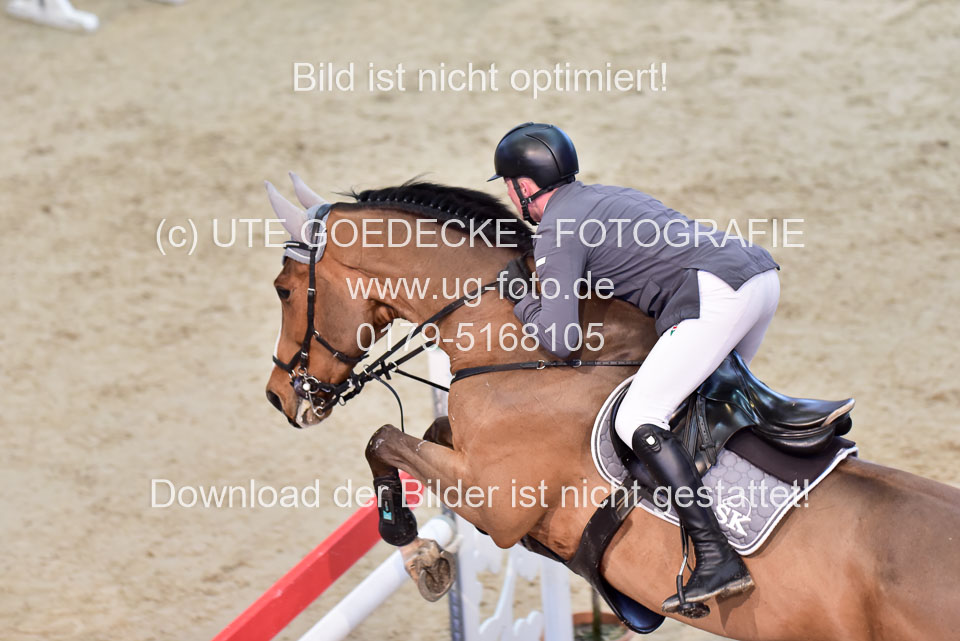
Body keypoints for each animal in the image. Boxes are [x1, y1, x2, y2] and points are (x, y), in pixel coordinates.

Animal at [263, 174, 960, 641]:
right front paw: (428, 555)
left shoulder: (498, 499)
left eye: (284, 290)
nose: (279, 396)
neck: (518, 347)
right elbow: (422, 432)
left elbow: (383, 437)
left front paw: (407, 539)